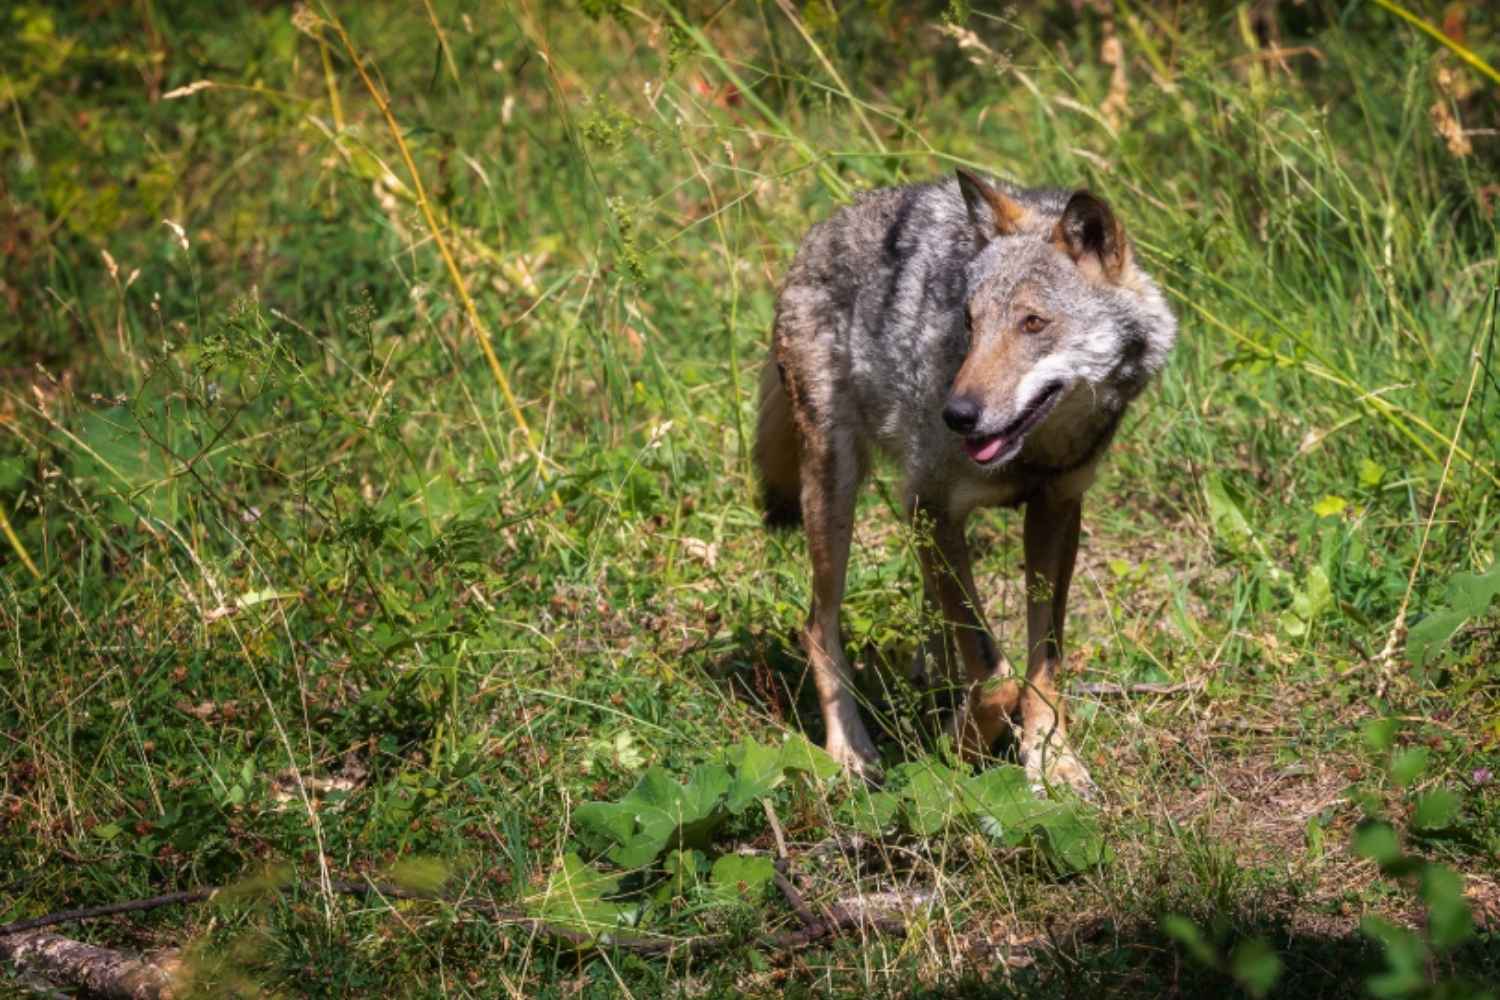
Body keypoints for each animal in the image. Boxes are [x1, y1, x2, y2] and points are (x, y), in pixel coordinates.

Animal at [754, 169, 1176, 795]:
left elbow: (1041, 661)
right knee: (816, 627)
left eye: (1032, 323)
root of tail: (821, 230)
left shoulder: (1056, 507)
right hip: (836, 495)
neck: (1037, 452)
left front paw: (1050, 761)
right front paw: (961, 746)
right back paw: (850, 752)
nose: (956, 415)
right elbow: (996, 672)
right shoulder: (929, 504)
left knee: (931, 616)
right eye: (971, 324)